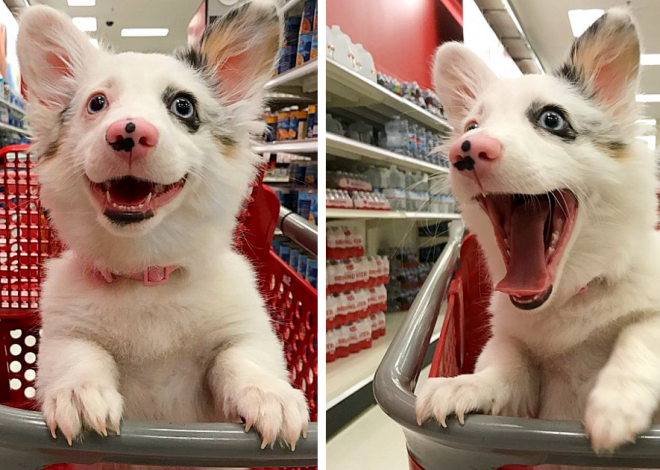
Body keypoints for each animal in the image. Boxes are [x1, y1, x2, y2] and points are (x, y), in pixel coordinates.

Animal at [15, 0, 308, 466]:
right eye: (97, 103)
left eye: (183, 107)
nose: (127, 131)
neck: (144, 273)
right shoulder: (63, 334)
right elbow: (79, 354)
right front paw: (79, 391)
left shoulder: (246, 331)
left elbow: (242, 359)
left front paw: (270, 396)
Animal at [416, 6, 660, 466]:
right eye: (471, 125)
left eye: (552, 119)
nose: (466, 150)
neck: (569, 295)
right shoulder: (518, 365)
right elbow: (504, 367)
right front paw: (463, 386)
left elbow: (641, 331)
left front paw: (615, 402)